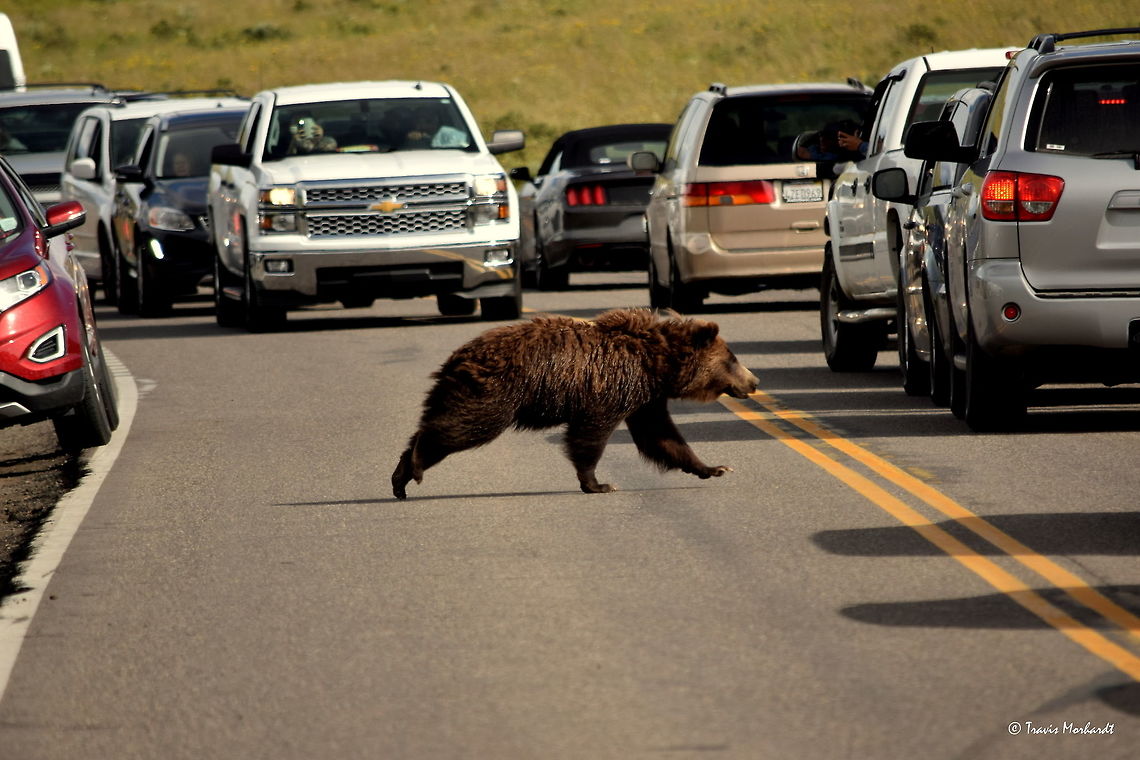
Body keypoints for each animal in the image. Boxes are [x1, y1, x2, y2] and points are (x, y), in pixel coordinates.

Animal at [391, 308, 759, 498]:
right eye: (733, 359)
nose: (754, 382)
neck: (656, 364)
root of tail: (457, 357)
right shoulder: (609, 390)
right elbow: (590, 437)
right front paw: (600, 483)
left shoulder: (645, 398)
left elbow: (662, 437)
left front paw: (714, 467)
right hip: (496, 391)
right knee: (466, 426)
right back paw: (416, 465)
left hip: (458, 390)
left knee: (436, 420)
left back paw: (401, 476)